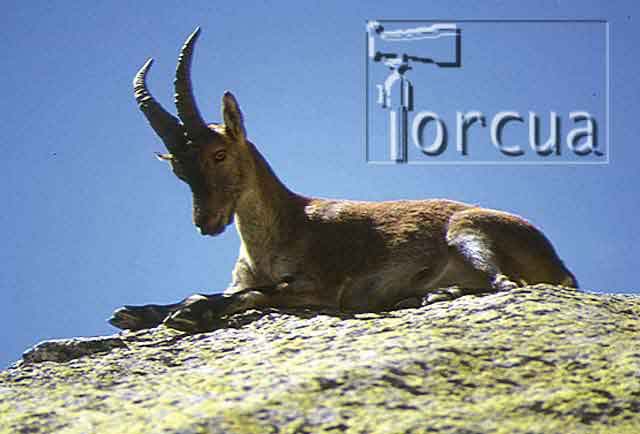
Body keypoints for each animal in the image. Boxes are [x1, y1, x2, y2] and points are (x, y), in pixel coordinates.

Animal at [109, 28, 577, 333]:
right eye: (178, 169)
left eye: (219, 154)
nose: (205, 223)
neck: (285, 227)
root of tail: (561, 267)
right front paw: (134, 312)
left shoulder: (321, 286)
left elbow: (246, 296)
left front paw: (187, 313)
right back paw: (422, 296)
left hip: (469, 231)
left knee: (506, 284)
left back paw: (433, 296)